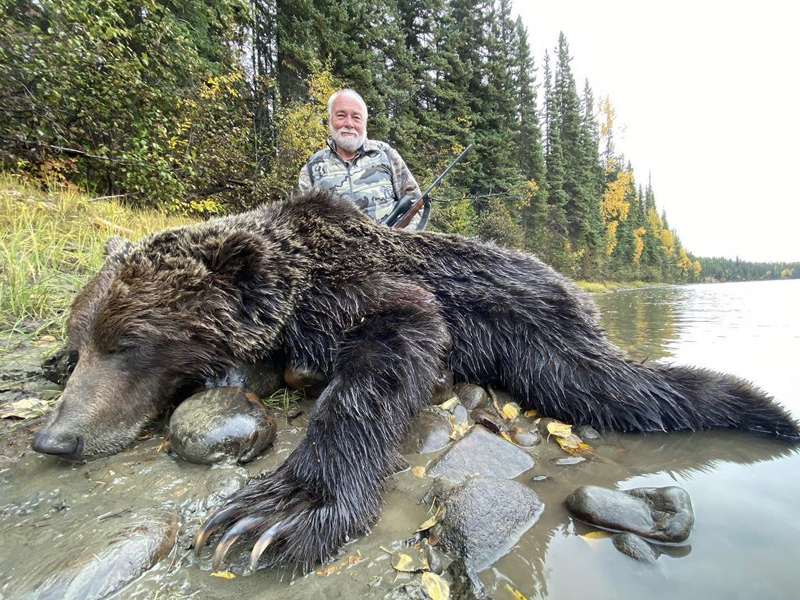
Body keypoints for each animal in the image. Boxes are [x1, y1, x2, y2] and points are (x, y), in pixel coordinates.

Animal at [32, 189, 799, 572]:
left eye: (130, 343)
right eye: (80, 340)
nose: (55, 439)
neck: (293, 273)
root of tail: (575, 288)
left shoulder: (361, 287)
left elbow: (393, 346)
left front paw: (281, 510)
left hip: (543, 333)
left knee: (621, 388)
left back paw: (761, 407)